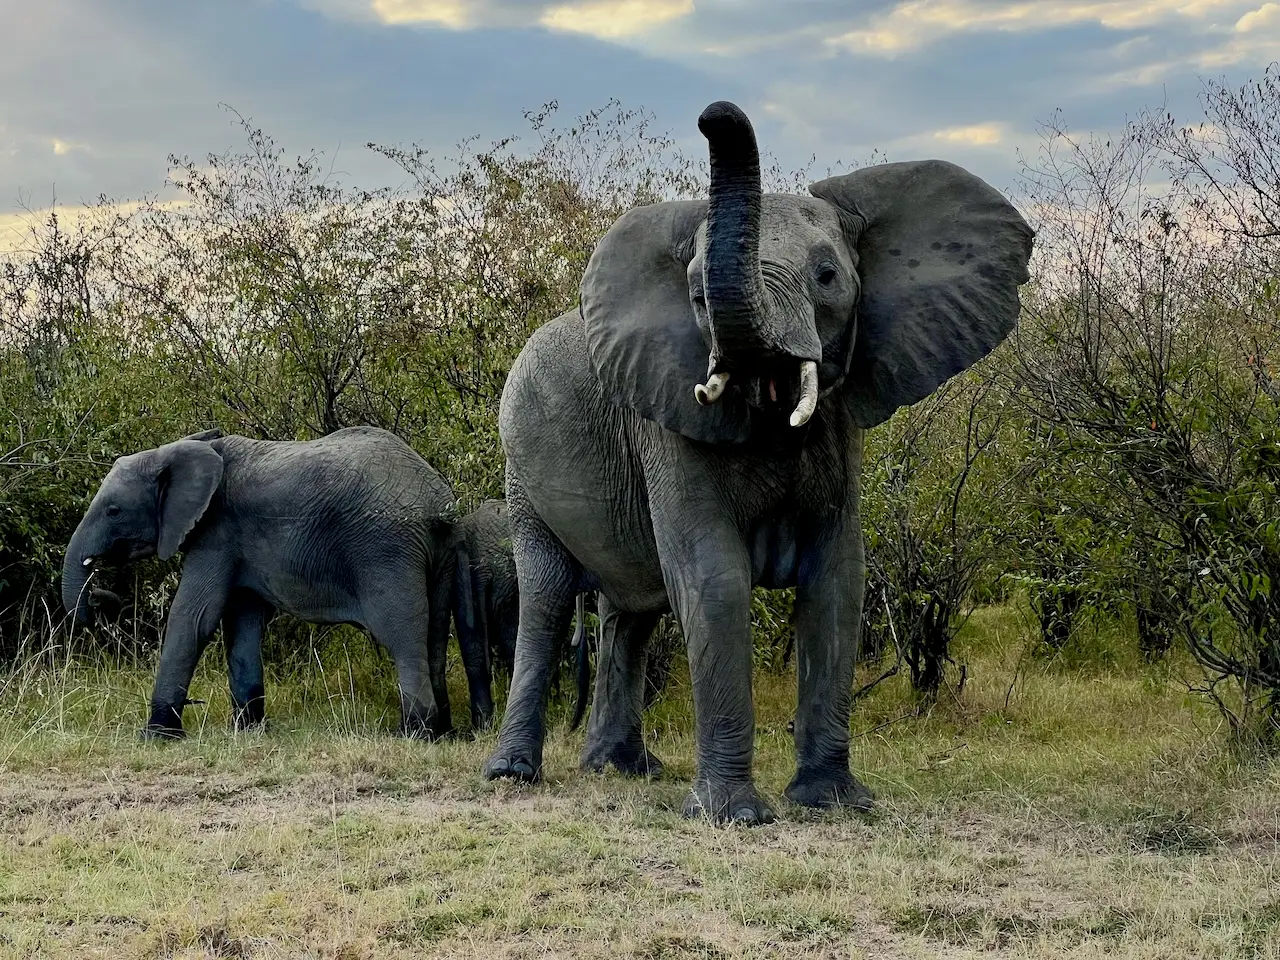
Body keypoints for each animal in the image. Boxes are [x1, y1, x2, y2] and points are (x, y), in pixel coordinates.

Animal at [63, 424, 460, 742]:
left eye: (114, 511)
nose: (100, 596)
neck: (179, 450)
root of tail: (437, 501)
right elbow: (242, 622)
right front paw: (248, 730)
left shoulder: (216, 532)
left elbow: (194, 616)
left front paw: (157, 736)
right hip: (439, 554)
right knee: (436, 636)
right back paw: (444, 732)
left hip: (386, 551)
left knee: (401, 636)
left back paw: (413, 735)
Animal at [483, 99, 1034, 829]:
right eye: (695, 297)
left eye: (828, 276)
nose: (713, 114)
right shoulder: (665, 417)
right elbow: (715, 578)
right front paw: (733, 817)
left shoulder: (836, 427)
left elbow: (838, 579)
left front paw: (834, 803)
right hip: (520, 467)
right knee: (546, 600)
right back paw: (513, 775)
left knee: (630, 612)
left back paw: (624, 769)